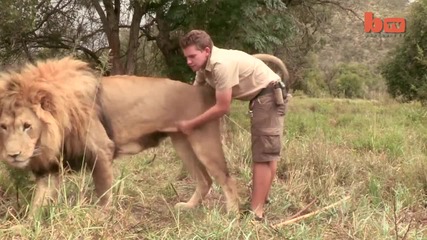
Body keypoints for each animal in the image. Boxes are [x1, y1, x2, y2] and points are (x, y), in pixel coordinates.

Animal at [0, 54, 288, 218]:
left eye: (27, 125)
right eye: (3, 126)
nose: (12, 155)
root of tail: (203, 89)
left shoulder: (101, 151)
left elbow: (103, 194)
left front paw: (100, 218)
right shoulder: (50, 167)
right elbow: (37, 204)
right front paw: (26, 225)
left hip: (204, 143)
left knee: (226, 179)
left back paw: (232, 214)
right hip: (182, 143)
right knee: (205, 180)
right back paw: (189, 207)